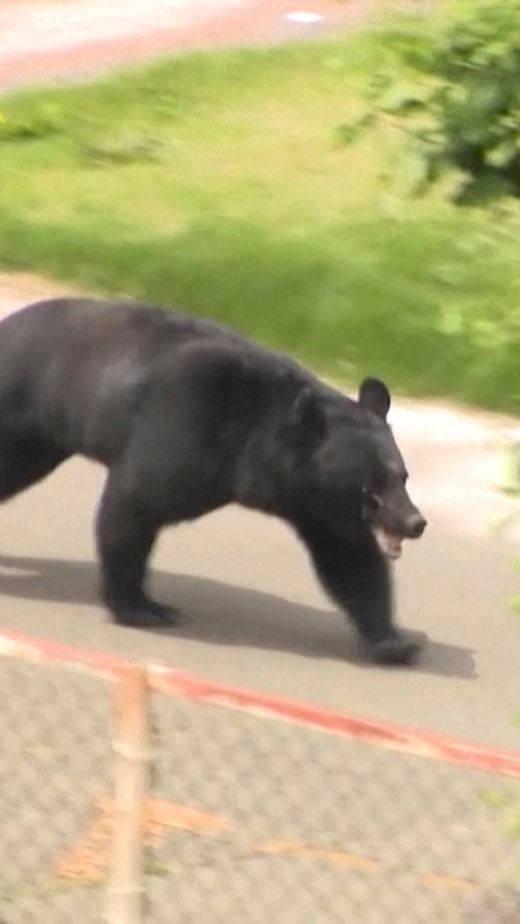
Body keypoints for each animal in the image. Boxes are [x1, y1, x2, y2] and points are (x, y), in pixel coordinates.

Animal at [0, 297, 426, 664]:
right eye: (372, 486)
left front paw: (394, 641)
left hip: (43, 439)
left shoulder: (317, 504)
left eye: (402, 476)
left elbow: (349, 558)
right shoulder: (186, 423)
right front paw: (143, 607)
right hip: (24, 411)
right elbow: (134, 505)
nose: (415, 522)